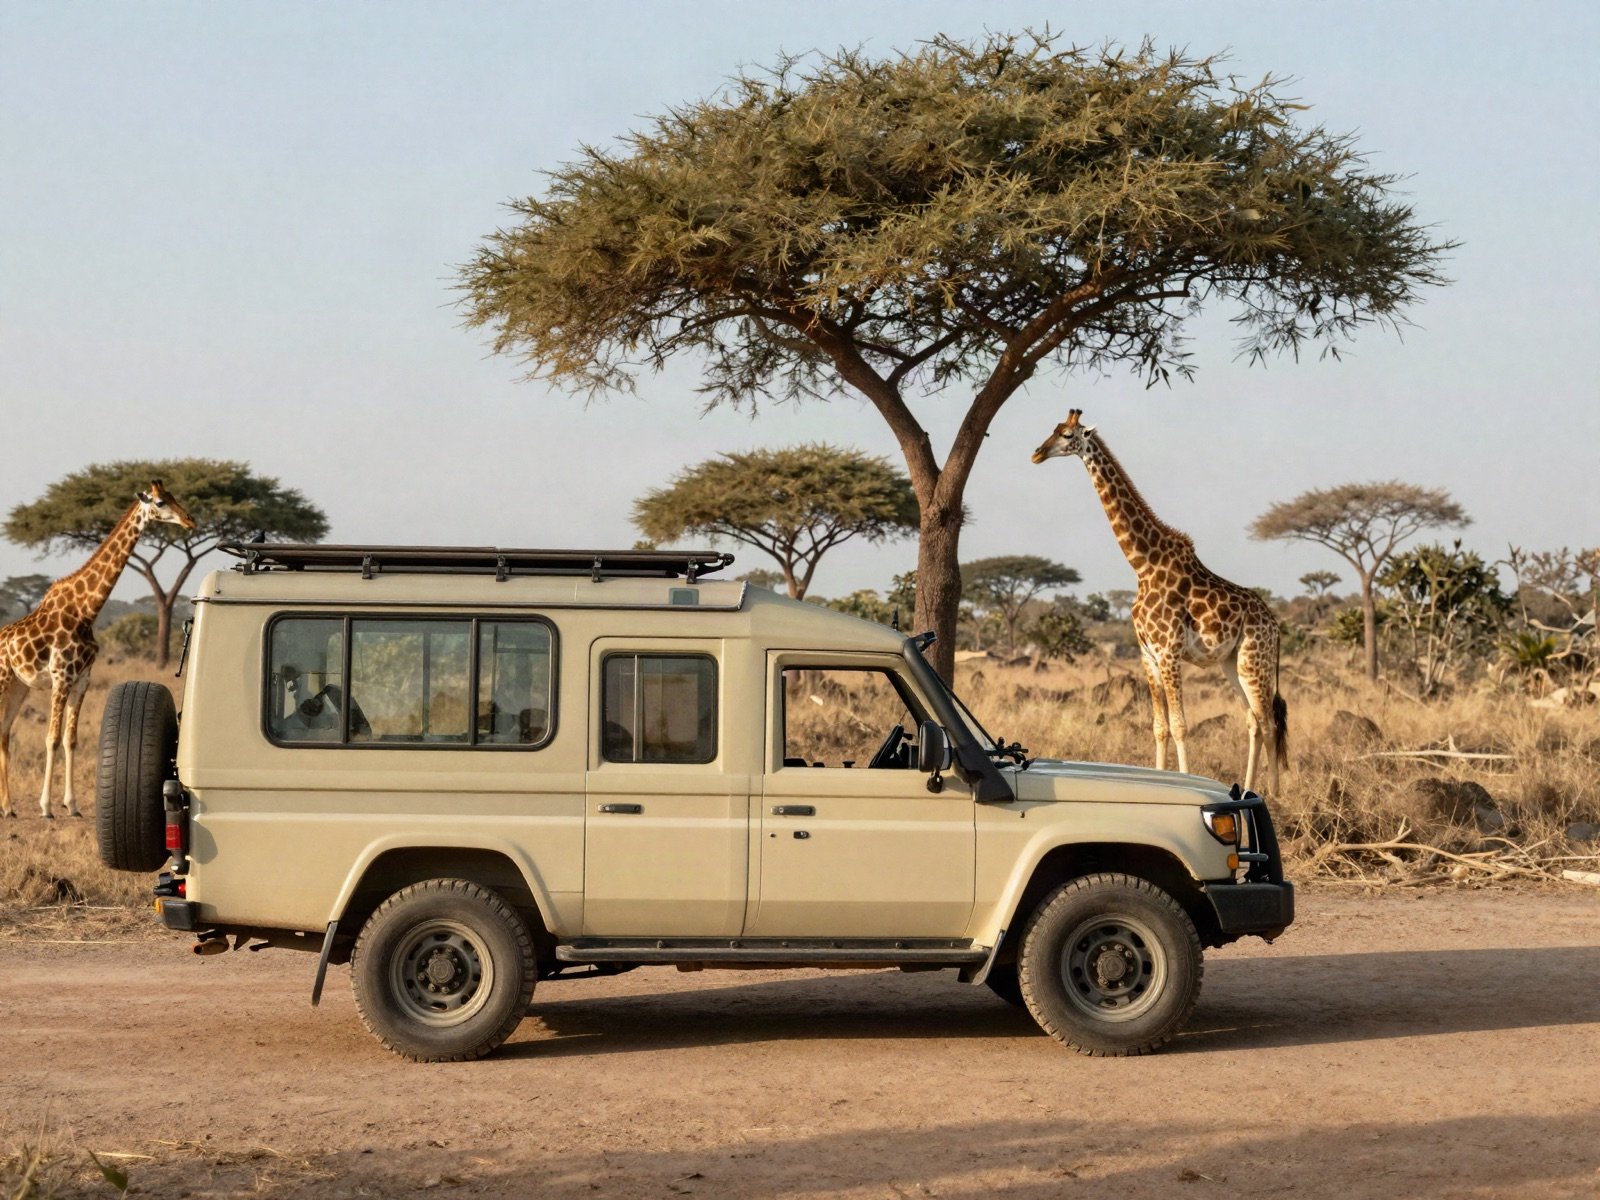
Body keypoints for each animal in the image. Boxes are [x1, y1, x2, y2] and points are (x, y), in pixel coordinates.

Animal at [0, 481, 196, 818]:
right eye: (160, 502)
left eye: (173, 496)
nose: (189, 520)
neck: (86, 610)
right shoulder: (61, 676)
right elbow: (52, 738)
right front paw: (46, 807)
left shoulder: (82, 679)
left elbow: (70, 739)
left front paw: (73, 805)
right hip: (3, 680)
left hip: (18, 687)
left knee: (4, 733)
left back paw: (9, 807)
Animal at [1032, 411, 1288, 793]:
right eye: (1052, 429)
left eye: (1065, 435)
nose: (1036, 454)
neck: (1142, 564)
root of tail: (1275, 626)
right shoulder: (1147, 655)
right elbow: (1159, 727)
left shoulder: (1168, 651)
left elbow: (1181, 725)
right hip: (1231, 662)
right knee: (1253, 720)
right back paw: (1248, 788)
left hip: (1254, 659)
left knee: (1269, 721)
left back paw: (1275, 794)